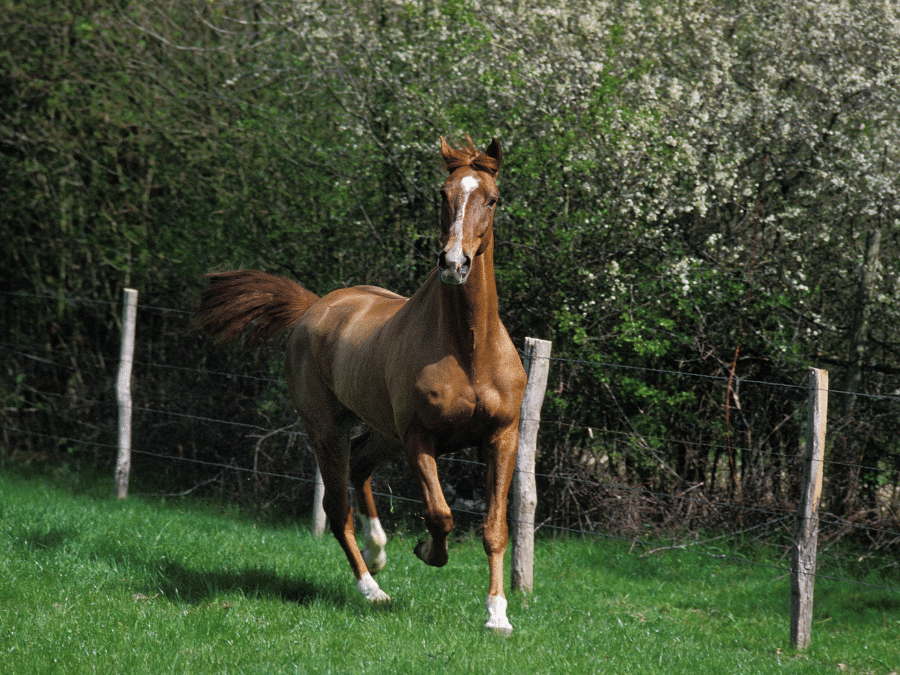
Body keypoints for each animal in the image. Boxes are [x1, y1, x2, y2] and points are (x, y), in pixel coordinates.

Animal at [193, 136, 524, 632]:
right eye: (443, 194)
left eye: (492, 198)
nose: (454, 263)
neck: (468, 350)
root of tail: (314, 308)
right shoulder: (419, 437)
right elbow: (440, 515)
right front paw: (426, 551)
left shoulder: (502, 437)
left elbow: (494, 528)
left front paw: (497, 615)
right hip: (329, 430)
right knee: (337, 508)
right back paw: (371, 587)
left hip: (385, 434)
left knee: (361, 466)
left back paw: (378, 548)